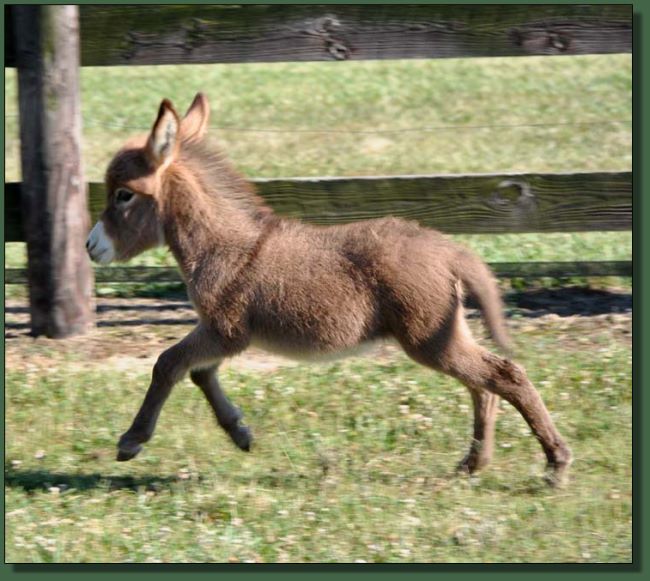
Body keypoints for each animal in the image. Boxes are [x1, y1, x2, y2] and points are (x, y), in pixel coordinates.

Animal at [87, 94, 572, 484]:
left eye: (124, 195)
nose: (91, 246)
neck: (223, 244)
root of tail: (447, 247)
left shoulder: (225, 331)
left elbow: (167, 364)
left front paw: (132, 440)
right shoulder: (224, 334)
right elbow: (199, 373)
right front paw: (239, 432)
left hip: (428, 339)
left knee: (505, 375)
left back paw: (555, 463)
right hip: (446, 332)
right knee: (484, 386)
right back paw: (474, 464)